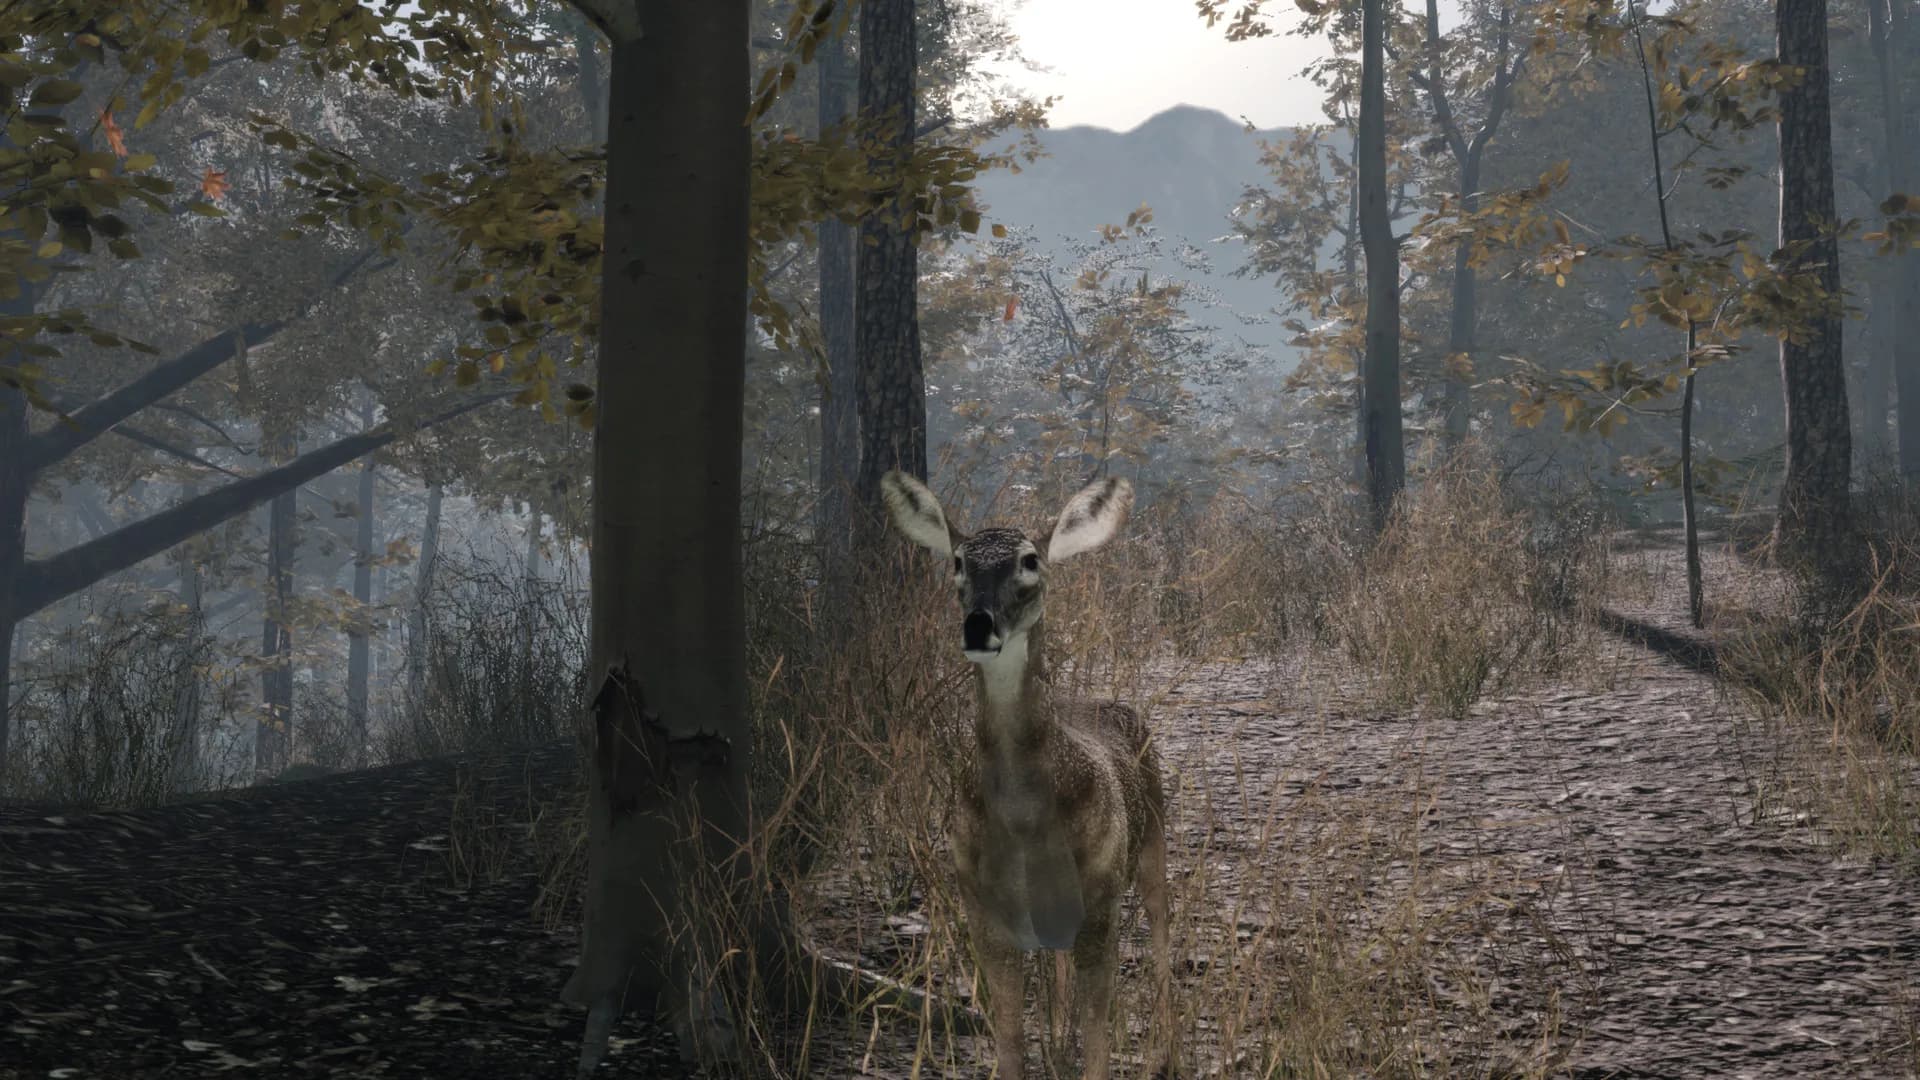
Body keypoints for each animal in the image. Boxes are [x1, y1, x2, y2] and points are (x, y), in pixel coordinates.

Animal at [880, 470, 1174, 1080]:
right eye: (959, 561)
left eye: (1030, 560)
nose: (978, 626)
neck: (1022, 822)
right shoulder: (982, 911)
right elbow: (1011, 1040)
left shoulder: (1100, 901)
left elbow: (1099, 1042)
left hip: (1152, 838)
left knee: (1162, 930)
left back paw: (1167, 1053)